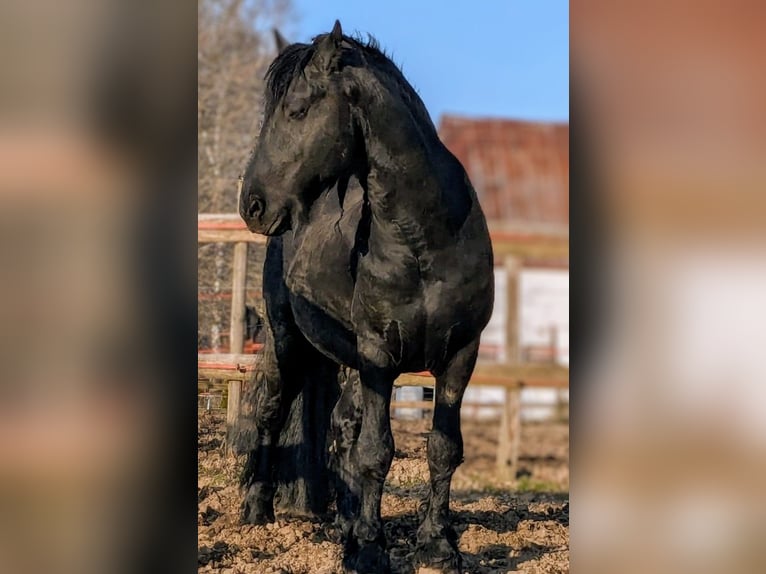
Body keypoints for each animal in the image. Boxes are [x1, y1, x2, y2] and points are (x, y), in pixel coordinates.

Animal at [237, 20, 496, 572]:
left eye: (296, 110)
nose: (252, 203)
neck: (425, 241)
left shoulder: (460, 356)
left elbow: (443, 449)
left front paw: (437, 545)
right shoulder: (379, 356)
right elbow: (377, 451)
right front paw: (373, 550)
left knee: (340, 430)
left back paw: (345, 525)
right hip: (290, 341)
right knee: (273, 412)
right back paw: (257, 508)